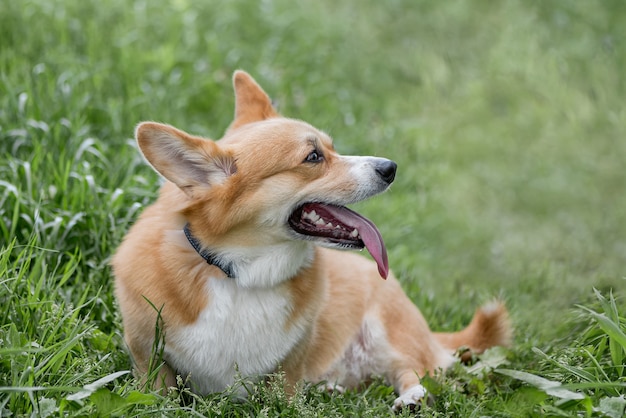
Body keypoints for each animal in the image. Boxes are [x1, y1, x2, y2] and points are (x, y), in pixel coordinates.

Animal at [113, 70, 512, 410]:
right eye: (313, 156)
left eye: (331, 148)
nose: (391, 167)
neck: (240, 272)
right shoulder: (148, 355)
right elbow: (158, 391)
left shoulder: (288, 369)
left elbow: (287, 394)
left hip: (387, 332)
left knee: (411, 370)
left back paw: (411, 399)